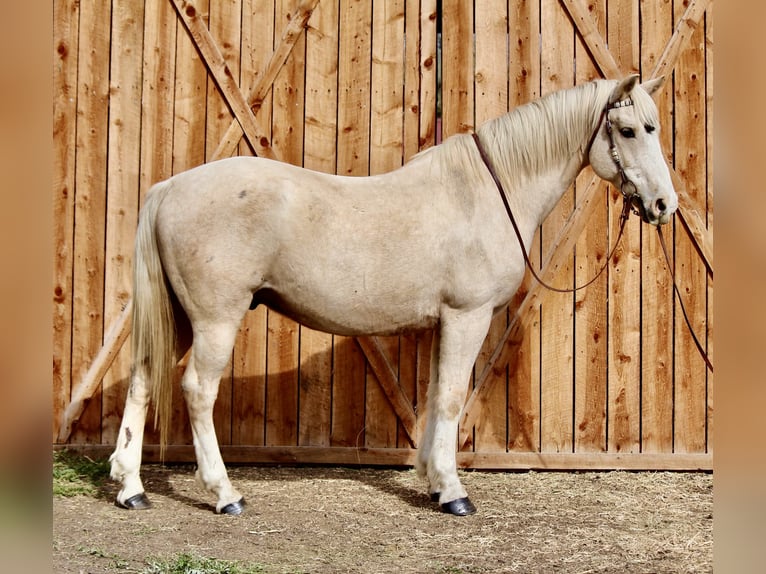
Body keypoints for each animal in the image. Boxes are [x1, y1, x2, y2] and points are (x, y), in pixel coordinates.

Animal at [109, 74, 676, 516]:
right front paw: (453, 493)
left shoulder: (442, 324)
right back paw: (225, 493)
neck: (485, 192)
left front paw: (432, 480)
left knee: (141, 380)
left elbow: (435, 394)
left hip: (182, 319)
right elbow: (451, 397)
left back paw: (131, 488)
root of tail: (169, 188)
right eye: (628, 130)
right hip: (215, 320)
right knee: (198, 390)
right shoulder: (467, 317)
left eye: (653, 128)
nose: (663, 205)